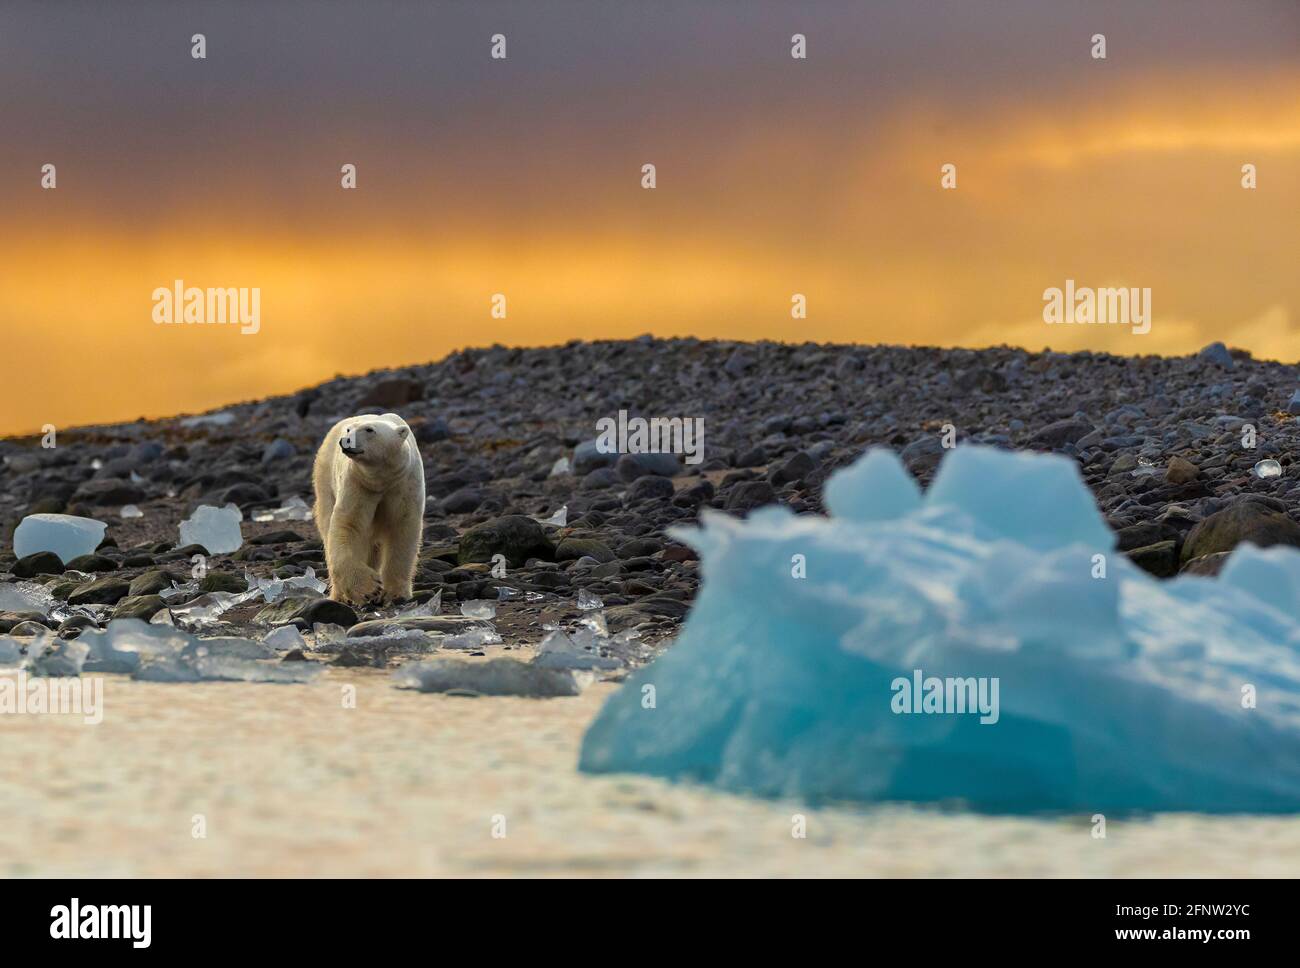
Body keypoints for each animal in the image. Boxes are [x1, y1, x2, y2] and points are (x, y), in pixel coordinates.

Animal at [308, 410, 421, 602]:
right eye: (348, 430)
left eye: (369, 430)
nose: (345, 440)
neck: (381, 480)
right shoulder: (358, 484)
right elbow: (348, 524)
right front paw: (369, 588)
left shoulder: (404, 484)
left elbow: (403, 528)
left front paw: (395, 593)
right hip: (325, 480)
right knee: (327, 524)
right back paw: (340, 596)